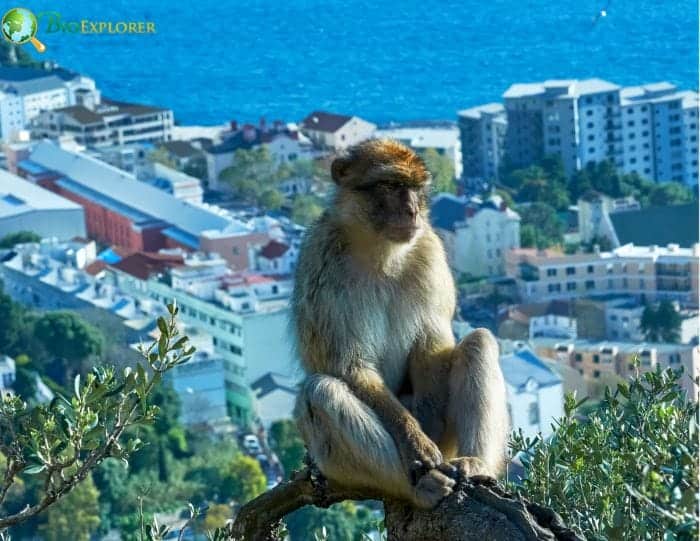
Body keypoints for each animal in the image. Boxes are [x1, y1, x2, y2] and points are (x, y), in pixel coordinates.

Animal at [290, 137, 508, 508]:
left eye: (415, 189)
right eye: (391, 186)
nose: (412, 211)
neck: (379, 250)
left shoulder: (430, 251)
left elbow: (433, 343)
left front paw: (429, 424)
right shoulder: (322, 262)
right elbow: (350, 364)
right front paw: (415, 438)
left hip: (449, 439)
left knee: (479, 342)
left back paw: (474, 462)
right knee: (321, 391)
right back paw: (420, 487)